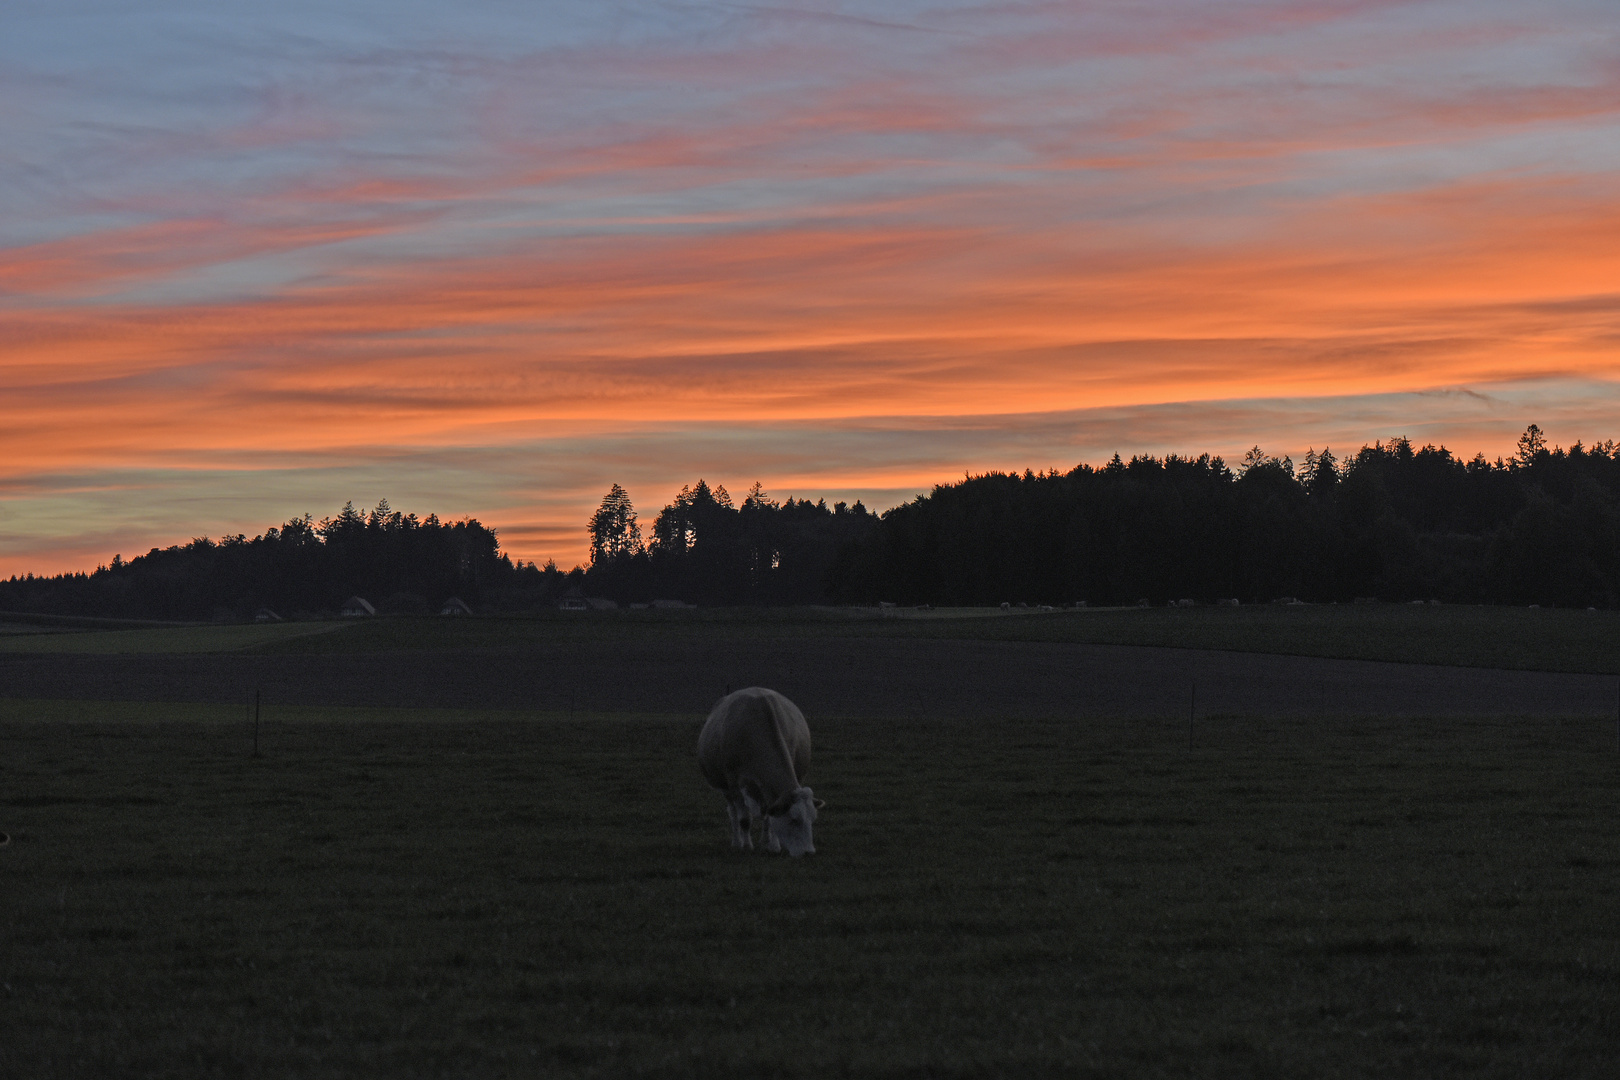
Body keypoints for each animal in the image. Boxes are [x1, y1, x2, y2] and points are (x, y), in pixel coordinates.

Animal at [696, 689, 822, 854]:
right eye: (794, 820)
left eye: (812, 819)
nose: (809, 852)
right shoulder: (735, 785)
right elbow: (744, 820)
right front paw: (747, 845)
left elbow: (771, 816)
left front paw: (773, 845)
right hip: (726, 789)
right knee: (733, 813)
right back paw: (737, 841)